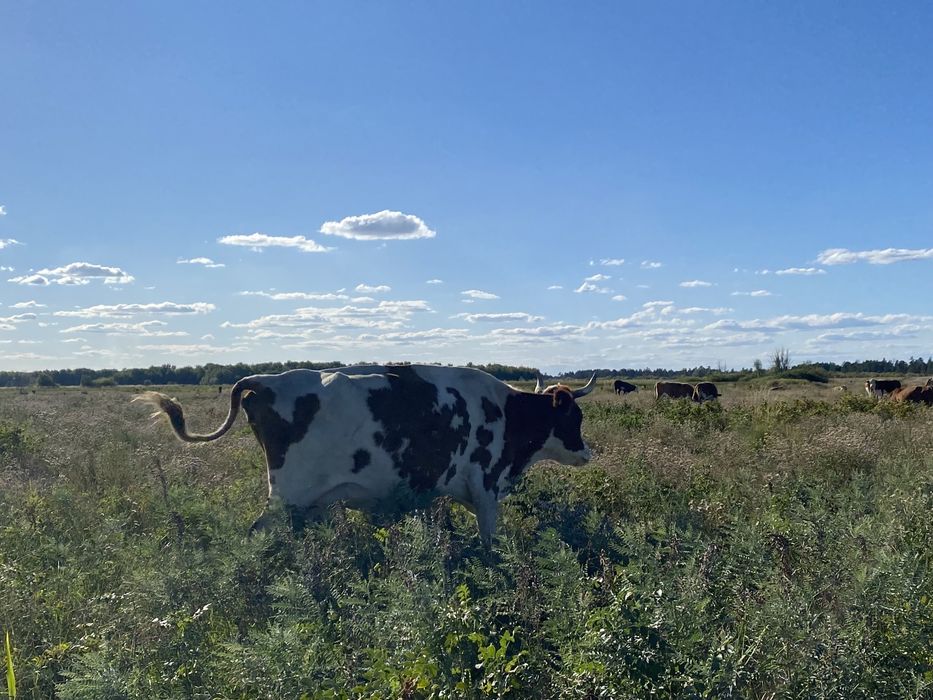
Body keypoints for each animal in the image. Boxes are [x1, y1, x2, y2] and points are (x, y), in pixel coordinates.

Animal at [135, 364, 597, 548]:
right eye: (574, 416)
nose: (588, 453)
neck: (506, 411)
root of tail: (266, 380)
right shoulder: (485, 487)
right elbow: (489, 543)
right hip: (286, 496)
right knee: (257, 533)